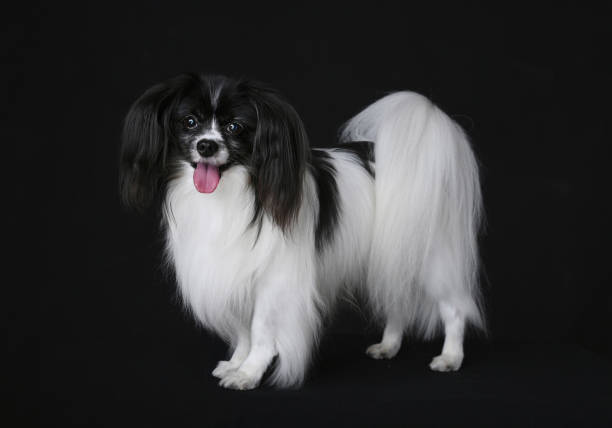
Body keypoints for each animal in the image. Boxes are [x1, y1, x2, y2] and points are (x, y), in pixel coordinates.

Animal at [118, 74, 482, 392]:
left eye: (235, 127)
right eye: (190, 122)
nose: (206, 146)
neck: (234, 193)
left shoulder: (274, 281)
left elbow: (261, 331)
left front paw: (249, 373)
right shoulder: (236, 273)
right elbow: (243, 331)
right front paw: (236, 363)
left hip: (432, 258)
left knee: (453, 308)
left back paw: (450, 357)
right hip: (393, 255)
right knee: (397, 300)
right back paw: (388, 346)